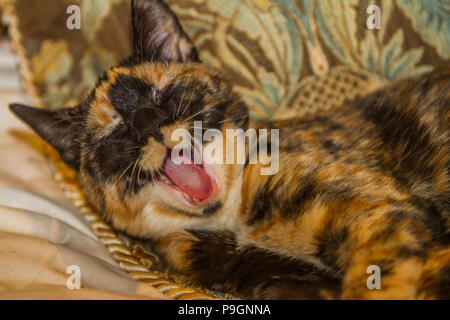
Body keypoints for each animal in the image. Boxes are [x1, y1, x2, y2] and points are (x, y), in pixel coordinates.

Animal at [8, 0, 448, 300]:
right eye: (119, 131)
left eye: (163, 95)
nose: (150, 127)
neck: (232, 219)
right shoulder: (266, 276)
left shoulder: (382, 211)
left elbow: (381, 277)